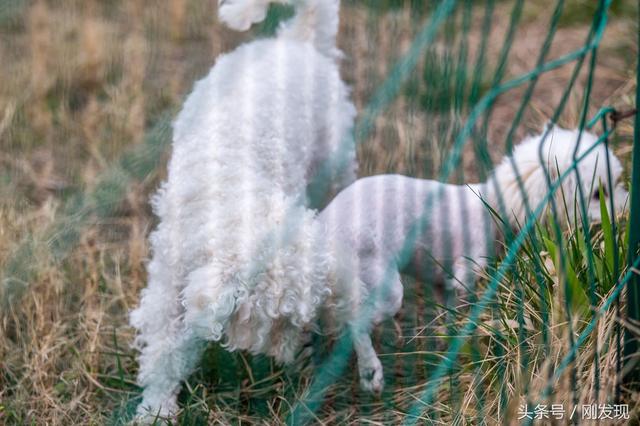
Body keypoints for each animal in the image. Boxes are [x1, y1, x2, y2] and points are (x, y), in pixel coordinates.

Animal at [130, 0, 360, 420]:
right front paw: (156, 409)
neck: (233, 197)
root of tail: (298, 41)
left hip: (333, 164)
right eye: (276, 322)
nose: (293, 353)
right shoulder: (168, 282)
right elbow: (165, 353)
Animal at [318, 125, 628, 388]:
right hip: (382, 286)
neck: (494, 207)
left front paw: (450, 342)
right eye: (598, 194)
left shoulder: (443, 285)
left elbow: (449, 317)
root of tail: (324, 231)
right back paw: (371, 373)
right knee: (357, 323)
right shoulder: (463, 277)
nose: (625, 210)